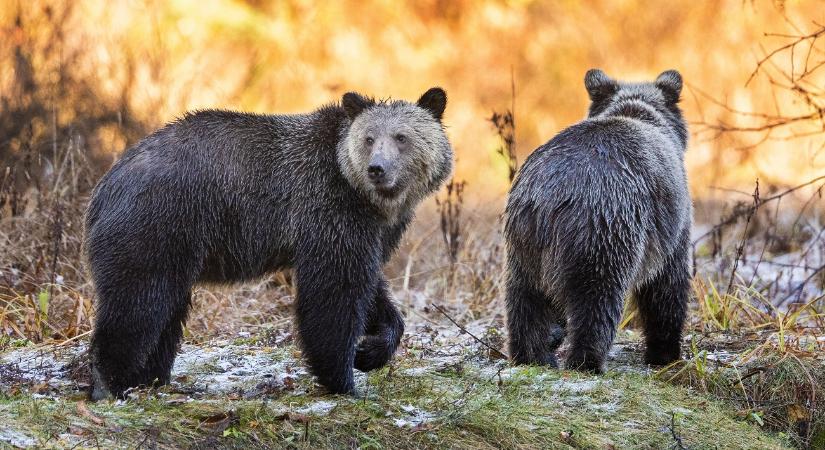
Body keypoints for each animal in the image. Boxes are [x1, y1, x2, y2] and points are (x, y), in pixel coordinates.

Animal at [84, 87, 453, 399]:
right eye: (369, 138)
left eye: (401, 137)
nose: (377, 169)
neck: (368, 199)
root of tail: (105, 185)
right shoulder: (328, 209)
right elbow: (334, 295)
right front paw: (343, 380)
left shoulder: (370, 232)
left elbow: (372, 288)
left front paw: (370, 351)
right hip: (159, 224)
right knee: (137, 303)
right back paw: (112, 383)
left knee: (166, 310)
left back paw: (152, 378)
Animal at [504, 69, 691, 373]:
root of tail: (550, 194)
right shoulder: (673, 224)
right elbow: (666, 286)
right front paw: (664, 353)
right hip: (605, 229)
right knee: (597, 299)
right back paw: (586, 361)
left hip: (523, 243)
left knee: (525, 299)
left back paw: (532, 356)